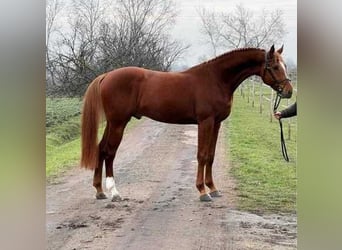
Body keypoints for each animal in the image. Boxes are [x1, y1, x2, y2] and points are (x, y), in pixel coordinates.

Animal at [80, 45, 292, 201]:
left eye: (285, 66)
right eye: (275, 67)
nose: (288, 91)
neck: (216, 79)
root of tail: (106, 76)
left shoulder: (217, 123)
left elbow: (211, 156)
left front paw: (213, 188)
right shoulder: (205, 122)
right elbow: (202, 155)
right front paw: (202, 192)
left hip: (112, 123)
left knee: (100, 149)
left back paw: (99, 191)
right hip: (118, 122)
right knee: (110, 152)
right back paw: (114, 192)